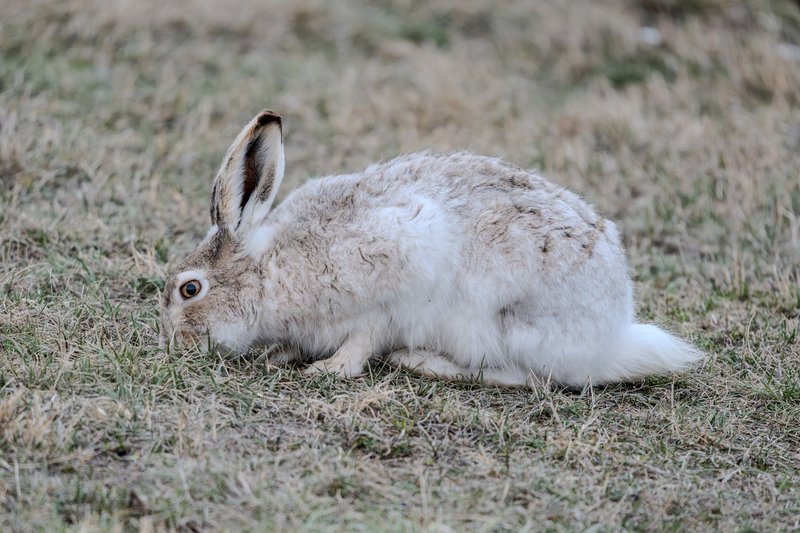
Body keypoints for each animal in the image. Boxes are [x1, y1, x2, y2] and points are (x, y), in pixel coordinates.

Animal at [159, 109, 702, 388]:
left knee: (523, 377)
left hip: (511, 326)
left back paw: (419, 362)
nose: (172, 345)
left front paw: (328, 368)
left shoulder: (399, 264)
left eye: (190, 290)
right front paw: (278, 354)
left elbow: (366, 335)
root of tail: (616, 334)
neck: (268, 271)